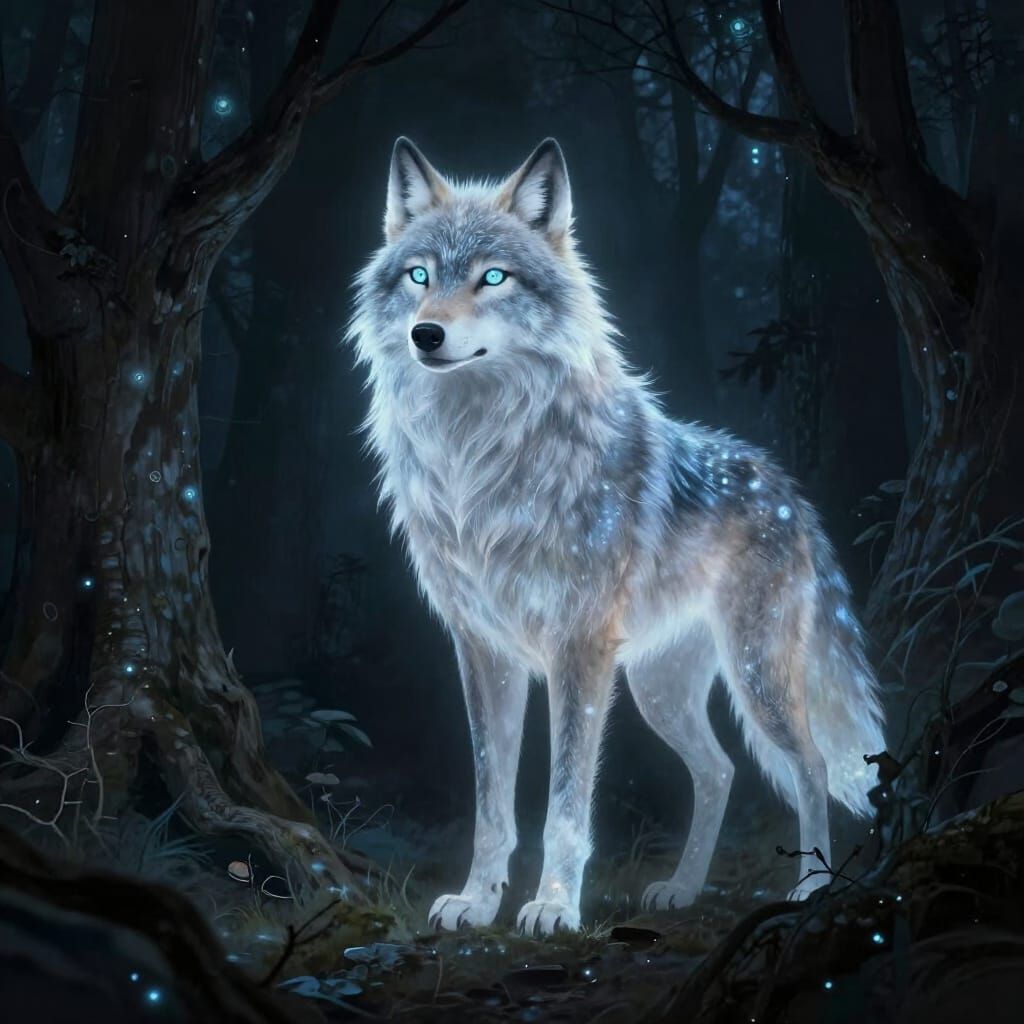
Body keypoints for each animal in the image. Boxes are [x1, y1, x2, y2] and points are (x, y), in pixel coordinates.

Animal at [349, 137, 885, 937]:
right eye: (420, 275)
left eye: (493, 278)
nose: (426, 334)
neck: (478, 458)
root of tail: (789, 491)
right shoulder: (483, 650)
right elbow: (491, 805)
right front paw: (477, 901)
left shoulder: (577, 647)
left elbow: (566, 805)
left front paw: (551, 906)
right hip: (658, 690)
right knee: (720, 769)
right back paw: (683, 889)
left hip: (752, 676)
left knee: (810, 766)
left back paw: (811, 887)